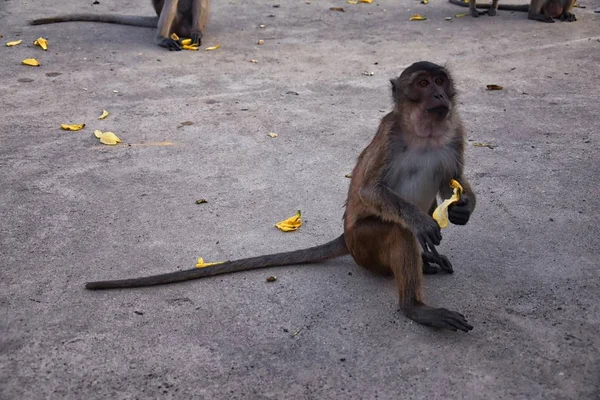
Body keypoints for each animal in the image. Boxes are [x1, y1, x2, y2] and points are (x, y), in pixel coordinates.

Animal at [85, 61, 478, 332]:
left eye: (440, 81)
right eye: (423, 83)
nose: (439, 96)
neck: (424, 132)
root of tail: (345, 238)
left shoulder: (456, 128)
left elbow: (451, 182)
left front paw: (464, 207)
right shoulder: (390, 133)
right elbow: (369, 190)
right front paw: (420, 221)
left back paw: (426, 263)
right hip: (363, 245)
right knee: (395, 233)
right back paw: (414, 307)